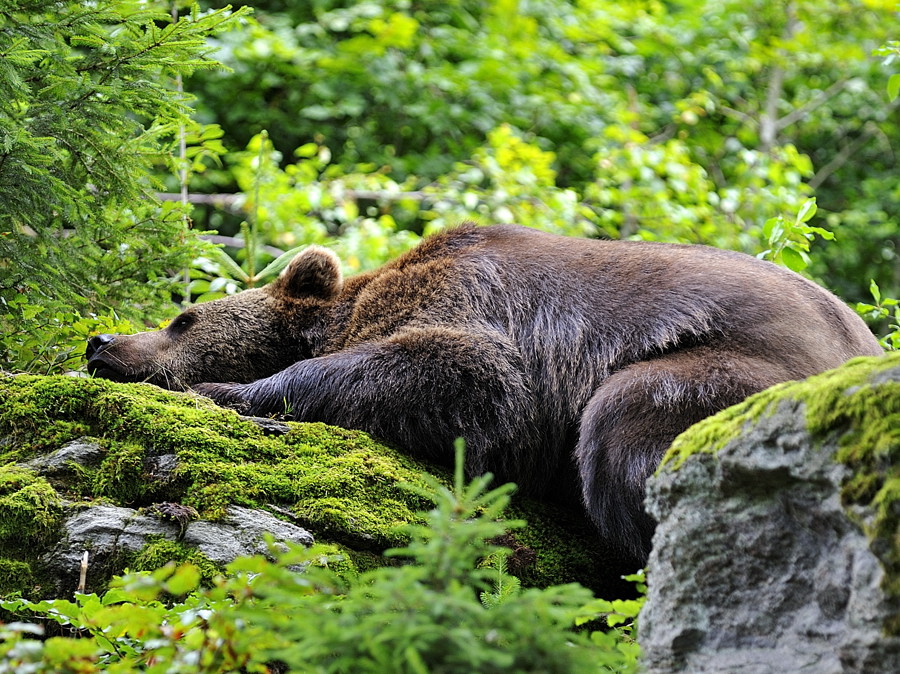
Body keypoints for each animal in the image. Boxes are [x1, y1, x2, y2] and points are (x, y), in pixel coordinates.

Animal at [86, 223, 883, 565]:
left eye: (184, 318)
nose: (101, 342)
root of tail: (868, 348)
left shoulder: (482, 309)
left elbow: (475, 376)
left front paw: (233, 387)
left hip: (732, 374)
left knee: (623, 428)